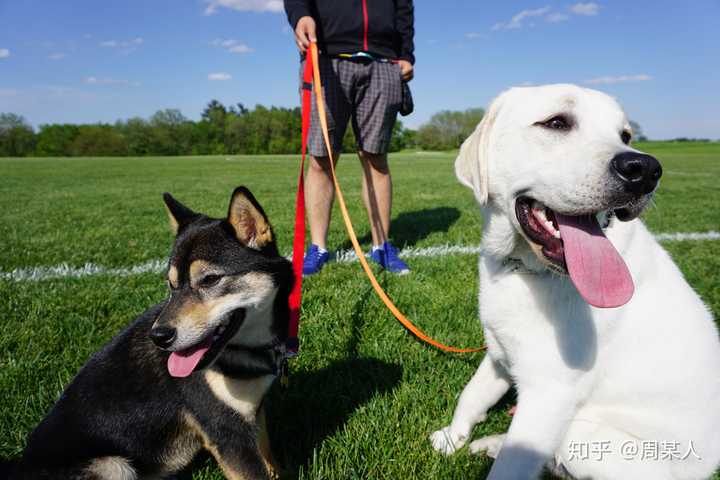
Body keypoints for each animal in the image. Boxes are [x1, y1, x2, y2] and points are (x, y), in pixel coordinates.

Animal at [4, 188, 292, 480]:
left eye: (210, 280)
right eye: (171, 285)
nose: (159, 337)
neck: (248, 349)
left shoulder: (253, 414)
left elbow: (270, 457)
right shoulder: (225, 431)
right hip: (115, 465)